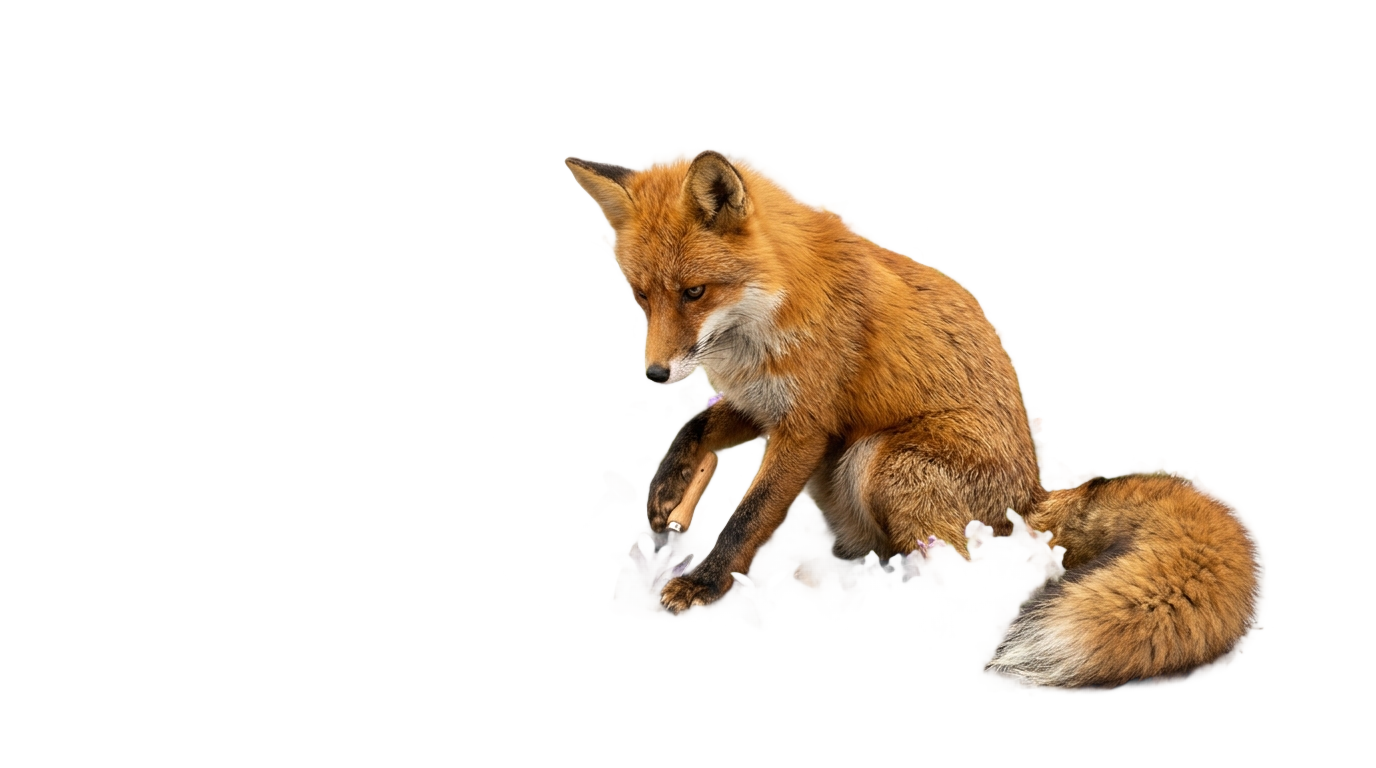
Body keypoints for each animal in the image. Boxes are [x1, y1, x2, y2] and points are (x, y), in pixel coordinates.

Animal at [566, 150, 1259, 686]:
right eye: (642, 296)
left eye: (694, 292)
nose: (654, 375)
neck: (765, 320)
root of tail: (1030, 498)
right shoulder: (761, 406)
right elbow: (692, 429)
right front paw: (665, 495)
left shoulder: (806, 428)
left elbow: (747, 514)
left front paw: (704, 584)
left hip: (877, 460)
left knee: (964, 566)